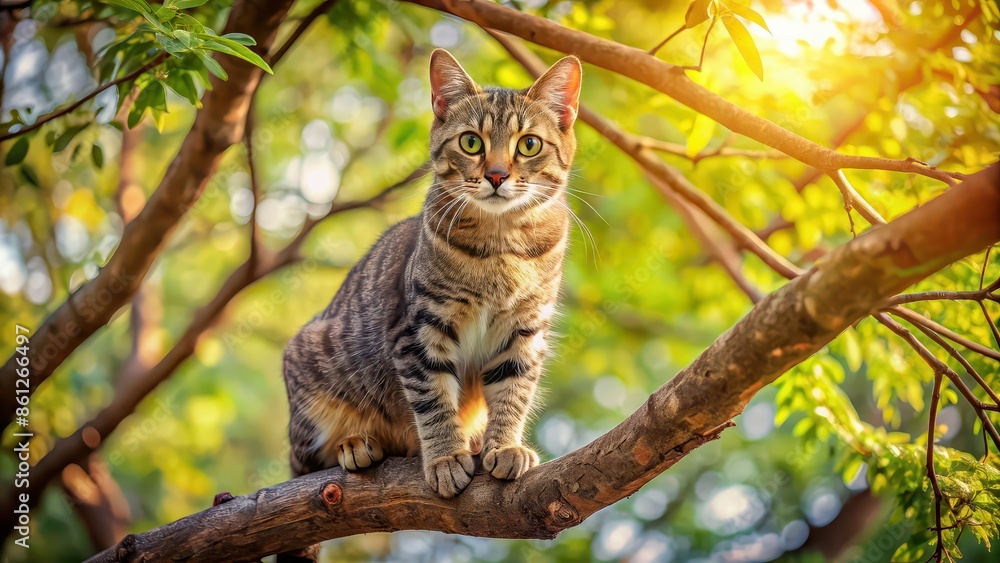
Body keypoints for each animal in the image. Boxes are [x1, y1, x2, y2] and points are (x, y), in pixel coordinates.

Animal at [282, 49, 584, 506]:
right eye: (471, 142)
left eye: (529, 144)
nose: (497, 175)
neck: (501, 246)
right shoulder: (419, 329)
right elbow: (433, 400)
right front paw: (444, 457)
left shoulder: (525, 331)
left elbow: (514, 393)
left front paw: (504, 445)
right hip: (311, 365)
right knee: (311, 460)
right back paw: (354, 444)